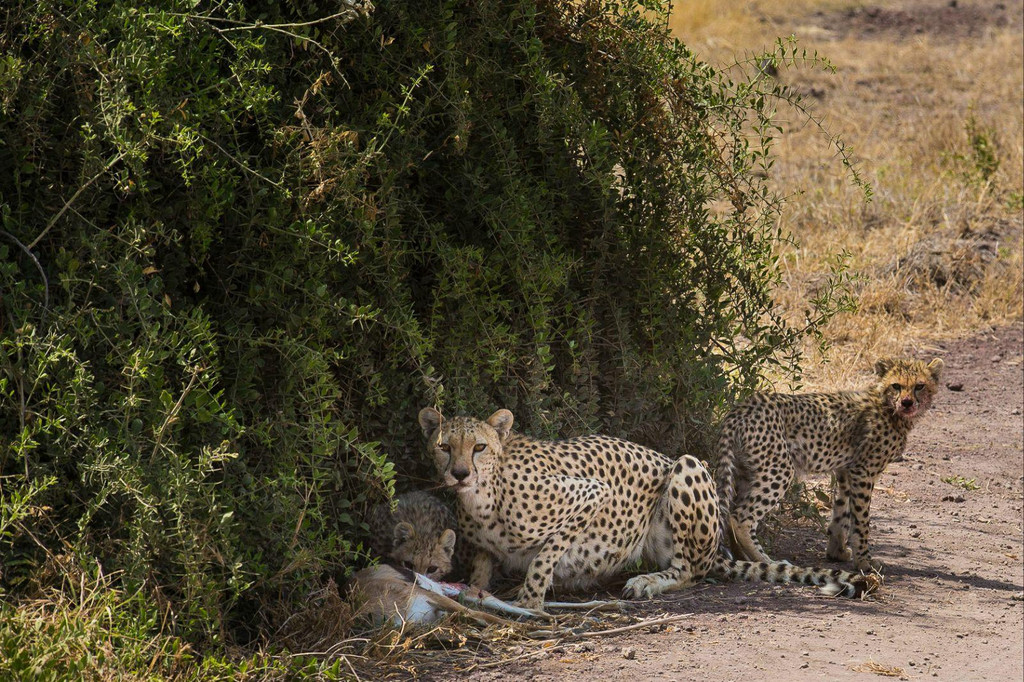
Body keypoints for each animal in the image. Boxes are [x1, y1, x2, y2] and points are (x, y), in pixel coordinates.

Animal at [415, 401, 872, 606]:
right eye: (443, 447)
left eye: (478, 447)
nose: (459, 473)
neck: (482, 496)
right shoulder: (484, 547)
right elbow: (483, 566)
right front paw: (475, 594)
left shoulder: (590, 494)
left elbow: (545, 555)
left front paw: (529, 602)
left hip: (688, 467)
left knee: (691, 571)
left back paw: (648, 582)